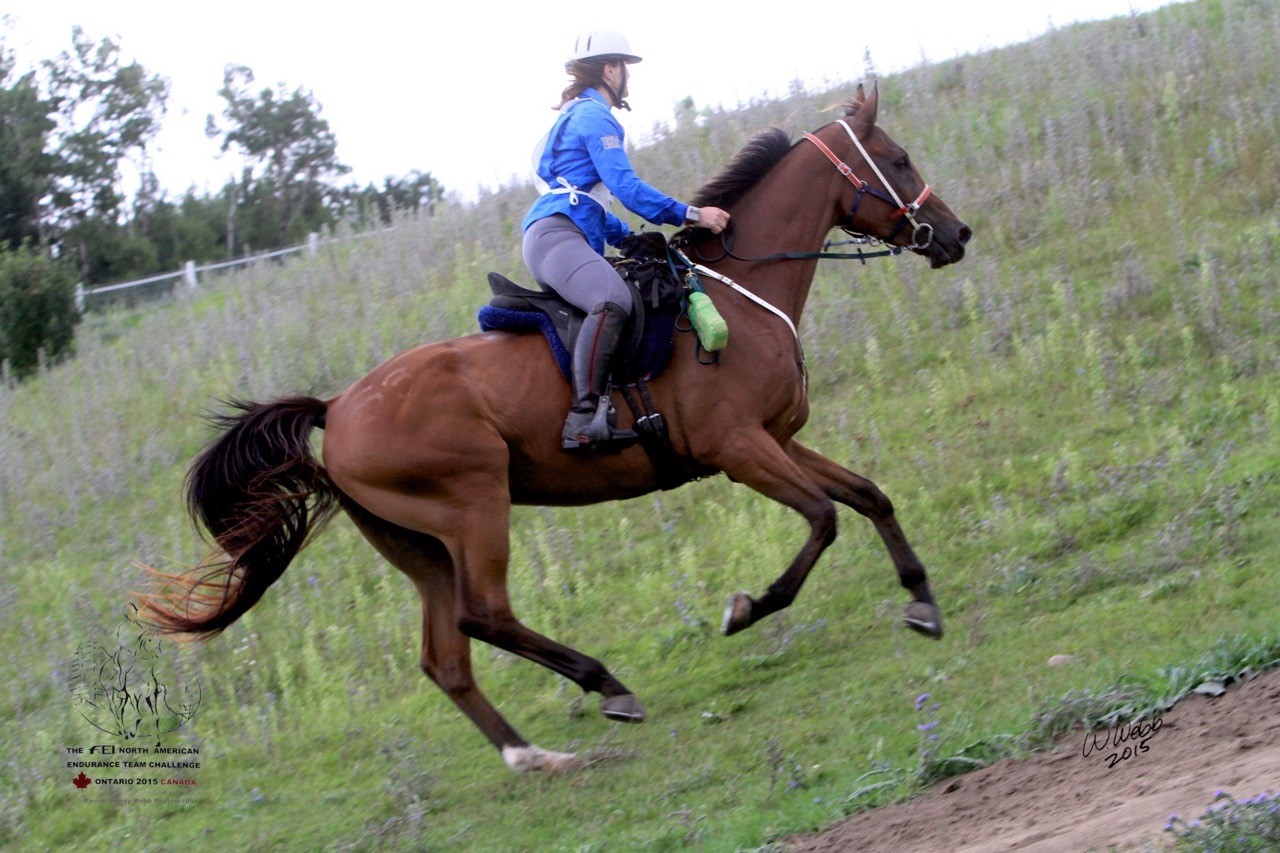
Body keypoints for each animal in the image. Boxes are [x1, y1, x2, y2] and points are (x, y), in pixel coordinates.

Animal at [140, 83, 971, 773]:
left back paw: (531, 754)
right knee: (484, 614)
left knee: (446, 656)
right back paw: (606, 683)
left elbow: (867, 494)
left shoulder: (779, 438)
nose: (955, 233)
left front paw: (922, 602)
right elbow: (823, 518)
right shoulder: (739, 448)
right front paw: (747, 607)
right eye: (897, 158)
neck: (742, 290)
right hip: (473, 504)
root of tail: (336, 409)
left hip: (418, 543)